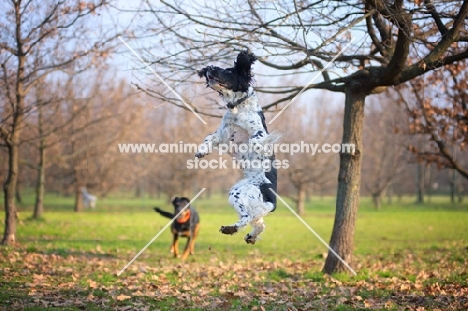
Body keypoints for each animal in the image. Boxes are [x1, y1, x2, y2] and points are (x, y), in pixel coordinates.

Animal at [196, 51, 280, 245]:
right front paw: (202, 151)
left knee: (247, 217)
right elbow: (208, 138)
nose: (209, 69)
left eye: (228, 71)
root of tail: (272, 200)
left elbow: (258, 140)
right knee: (258, 222)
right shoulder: (222, 134)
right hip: (245, 197)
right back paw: (250, 236)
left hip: (239, 193)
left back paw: (231, 228)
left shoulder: (257, 131)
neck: (237, 107)